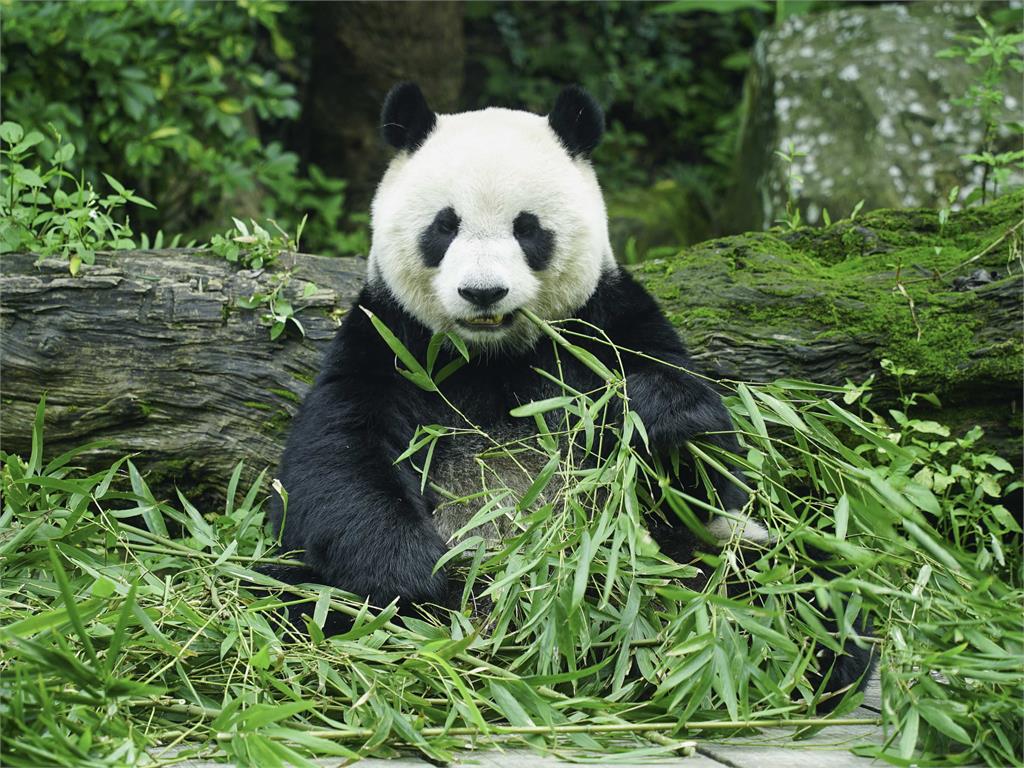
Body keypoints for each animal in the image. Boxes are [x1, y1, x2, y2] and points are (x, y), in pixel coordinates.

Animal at [266, 83, 872, 708]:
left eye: (527, 228)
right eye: (444, 226)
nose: (483, 292)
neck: (492, 355)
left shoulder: (608, 322)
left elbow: (707, 476)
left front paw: (654, 412)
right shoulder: (389, 340)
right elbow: (337, 460)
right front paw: (418, 573)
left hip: (689, 565)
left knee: (799, 587)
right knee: (284, 597)